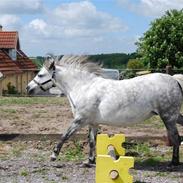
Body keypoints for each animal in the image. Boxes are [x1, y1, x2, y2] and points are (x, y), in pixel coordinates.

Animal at [26, 54, 183, 166]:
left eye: (40, 75)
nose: (28, 88)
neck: (83, 87)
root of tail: (174, 80)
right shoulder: (93, 122)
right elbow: (91, 141)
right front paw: (89, 161)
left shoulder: (80, 120)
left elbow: (65, 136)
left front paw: (53, 156)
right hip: (174, 116)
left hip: (168, 116)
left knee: (176, 137)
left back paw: (173, 163)